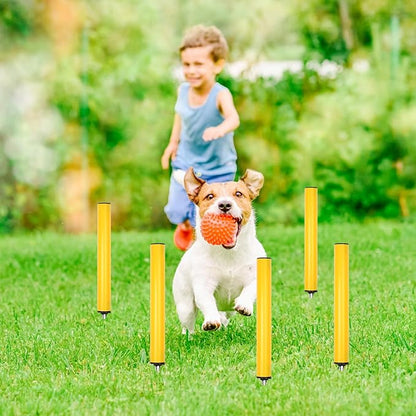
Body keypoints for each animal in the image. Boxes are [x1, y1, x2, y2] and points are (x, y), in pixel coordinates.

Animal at [173, 167, 266, 334]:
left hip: (228, 310)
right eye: (209, 196)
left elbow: (251, 289)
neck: (228, 254)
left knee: (226, 315)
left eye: (238, 194)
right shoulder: (203, 283)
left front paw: (244, 305)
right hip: (185, 305)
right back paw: (188, 337)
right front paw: (211, 320)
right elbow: (207, 301)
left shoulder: (255, 275)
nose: (224, 204)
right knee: (188, 324)